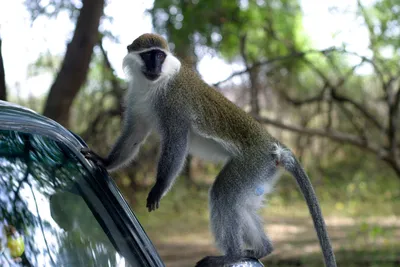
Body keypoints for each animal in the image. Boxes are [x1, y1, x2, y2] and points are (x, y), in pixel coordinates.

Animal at [83, 33, 336, 267]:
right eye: (148, 55)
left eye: (160, 55)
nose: (155, 66)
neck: (154, 85)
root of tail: (274, 145)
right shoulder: (136, 97)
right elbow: (135, 134)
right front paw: (105, 162)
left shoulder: (174, 104)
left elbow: (177, 142)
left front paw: (159, 187)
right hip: (262, 171)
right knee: (241, 204)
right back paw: (262, 249)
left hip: (253, 162)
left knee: (223, 193)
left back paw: (231, 256)